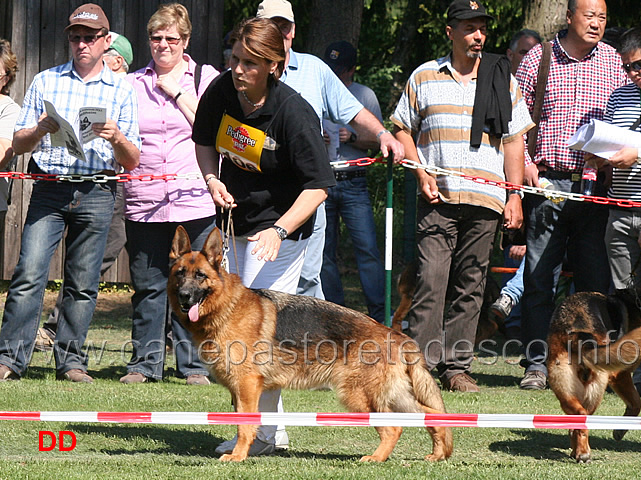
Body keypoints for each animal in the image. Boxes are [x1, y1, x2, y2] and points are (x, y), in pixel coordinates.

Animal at [168, 227, 452, 464]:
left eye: (200, 276)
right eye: (180, 274)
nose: (184, 296)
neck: (226, 306)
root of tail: (395, 334)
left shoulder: (247, 386)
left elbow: (245, 426)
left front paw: (238, 456)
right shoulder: (241, 390)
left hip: (359, 397)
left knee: (394, 427)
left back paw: (376, 458)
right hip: (393, 395)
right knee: (431, 413)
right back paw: (438, 453)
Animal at [544, 288, 640, 462]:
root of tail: (576, 335)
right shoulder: (620, 374)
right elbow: (636, 402)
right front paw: (621, 429)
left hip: (566, 390)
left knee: (578, 417)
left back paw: (578, 451)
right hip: (596, 390)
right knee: (584, 416)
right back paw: (583, 453)